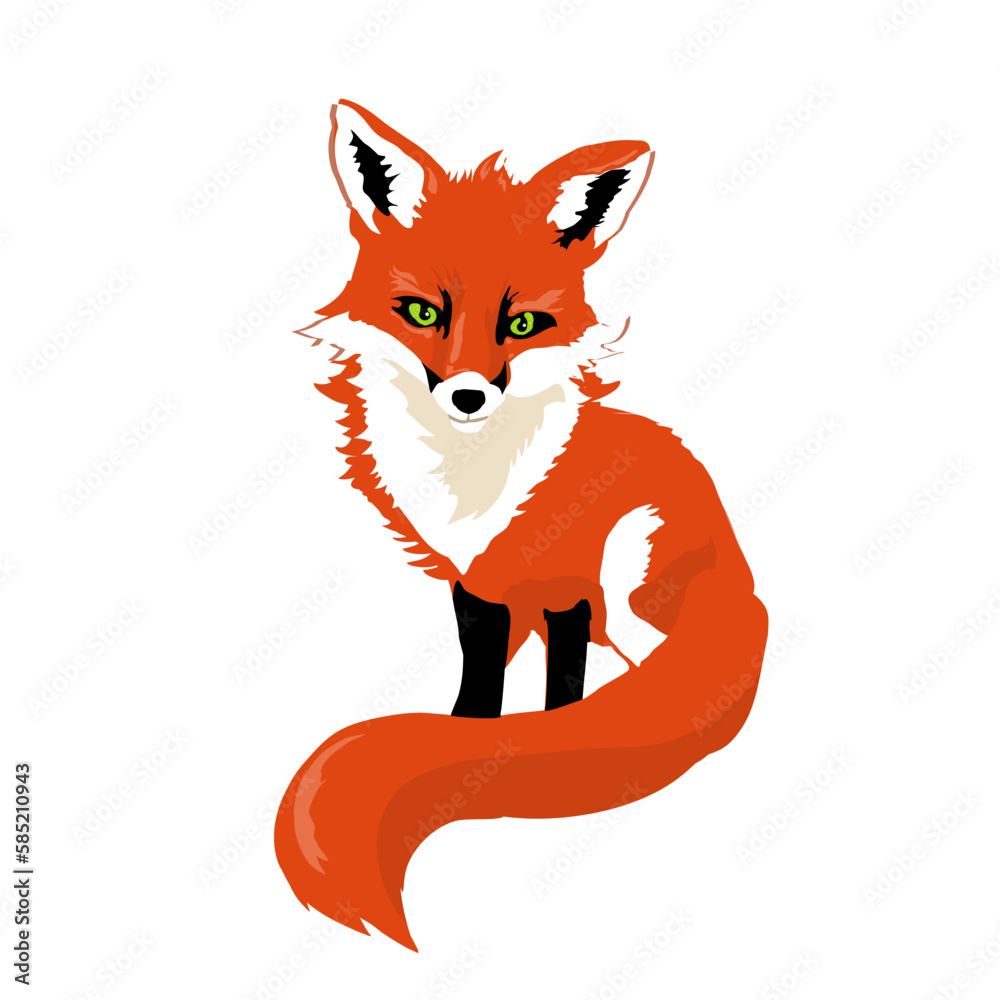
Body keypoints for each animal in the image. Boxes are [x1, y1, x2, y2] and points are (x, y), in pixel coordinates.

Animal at [274, 99, 768, 951]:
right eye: (423, 313)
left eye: (526, 323)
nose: (469, 395)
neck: (482, 488)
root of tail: (742, 590)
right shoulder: (475, 584)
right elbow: (480, 687)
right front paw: (469, 742)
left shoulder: (571, 584)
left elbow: (566, 703)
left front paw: (556, 750)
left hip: (628, 585)